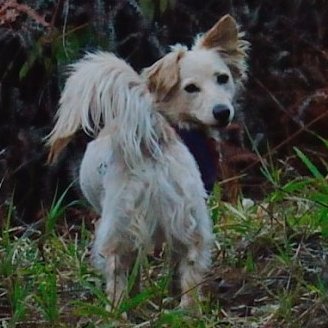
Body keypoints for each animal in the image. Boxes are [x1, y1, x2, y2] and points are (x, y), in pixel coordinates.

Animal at [45, 14, 246, 312]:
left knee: (119, 272)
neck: (172, 122)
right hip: (186, 218)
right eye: (191, 88)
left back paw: (118, 312)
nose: (222, 112)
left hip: (121, 224)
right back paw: (187, 311)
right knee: (189, 269)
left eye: (223, 79)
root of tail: (154, 143)